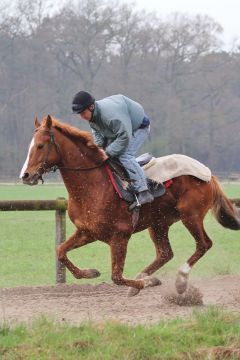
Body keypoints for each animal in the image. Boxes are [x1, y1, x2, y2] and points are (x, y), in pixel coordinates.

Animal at [20, 116, 240, 296]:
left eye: (40, 146)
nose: (26, 175)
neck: (93, 185)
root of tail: (209, 174)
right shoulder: (87, 231)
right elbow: (60, 251)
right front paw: (91, 272)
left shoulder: (120, 236)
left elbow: (116, 277)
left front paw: (145, 284)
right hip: (159, 223)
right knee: (165, 253)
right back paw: (144, 276)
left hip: (190, 215)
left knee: (203, 244)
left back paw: (179, 281)